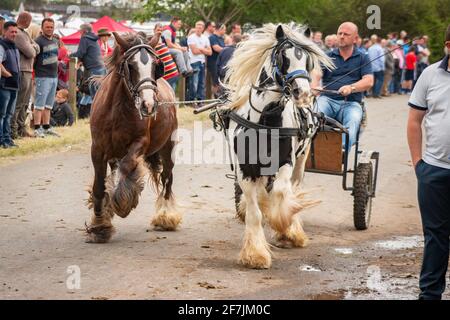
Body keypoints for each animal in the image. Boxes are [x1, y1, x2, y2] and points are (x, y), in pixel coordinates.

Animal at [86, 31, 181, 242]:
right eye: (131, 65)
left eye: (156, 66)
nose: (149, 105)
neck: (117, 109)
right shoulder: (98, 149)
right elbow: (99, 185)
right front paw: (100, 223)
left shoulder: (140, 143)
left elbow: (127, 166)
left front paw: (122, 200)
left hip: (167, 148)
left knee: (167, 177)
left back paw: (165, 216)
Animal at [222, 23, 334, 268]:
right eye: (283, 56)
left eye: (308, 61)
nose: (303, 92)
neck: (265, 119)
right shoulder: (245, 169)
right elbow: (254, 211)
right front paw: (255, 254)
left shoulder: (285, 162)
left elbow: (282, 193)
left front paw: (284, 226)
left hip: (301, 159)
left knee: (292, 187)